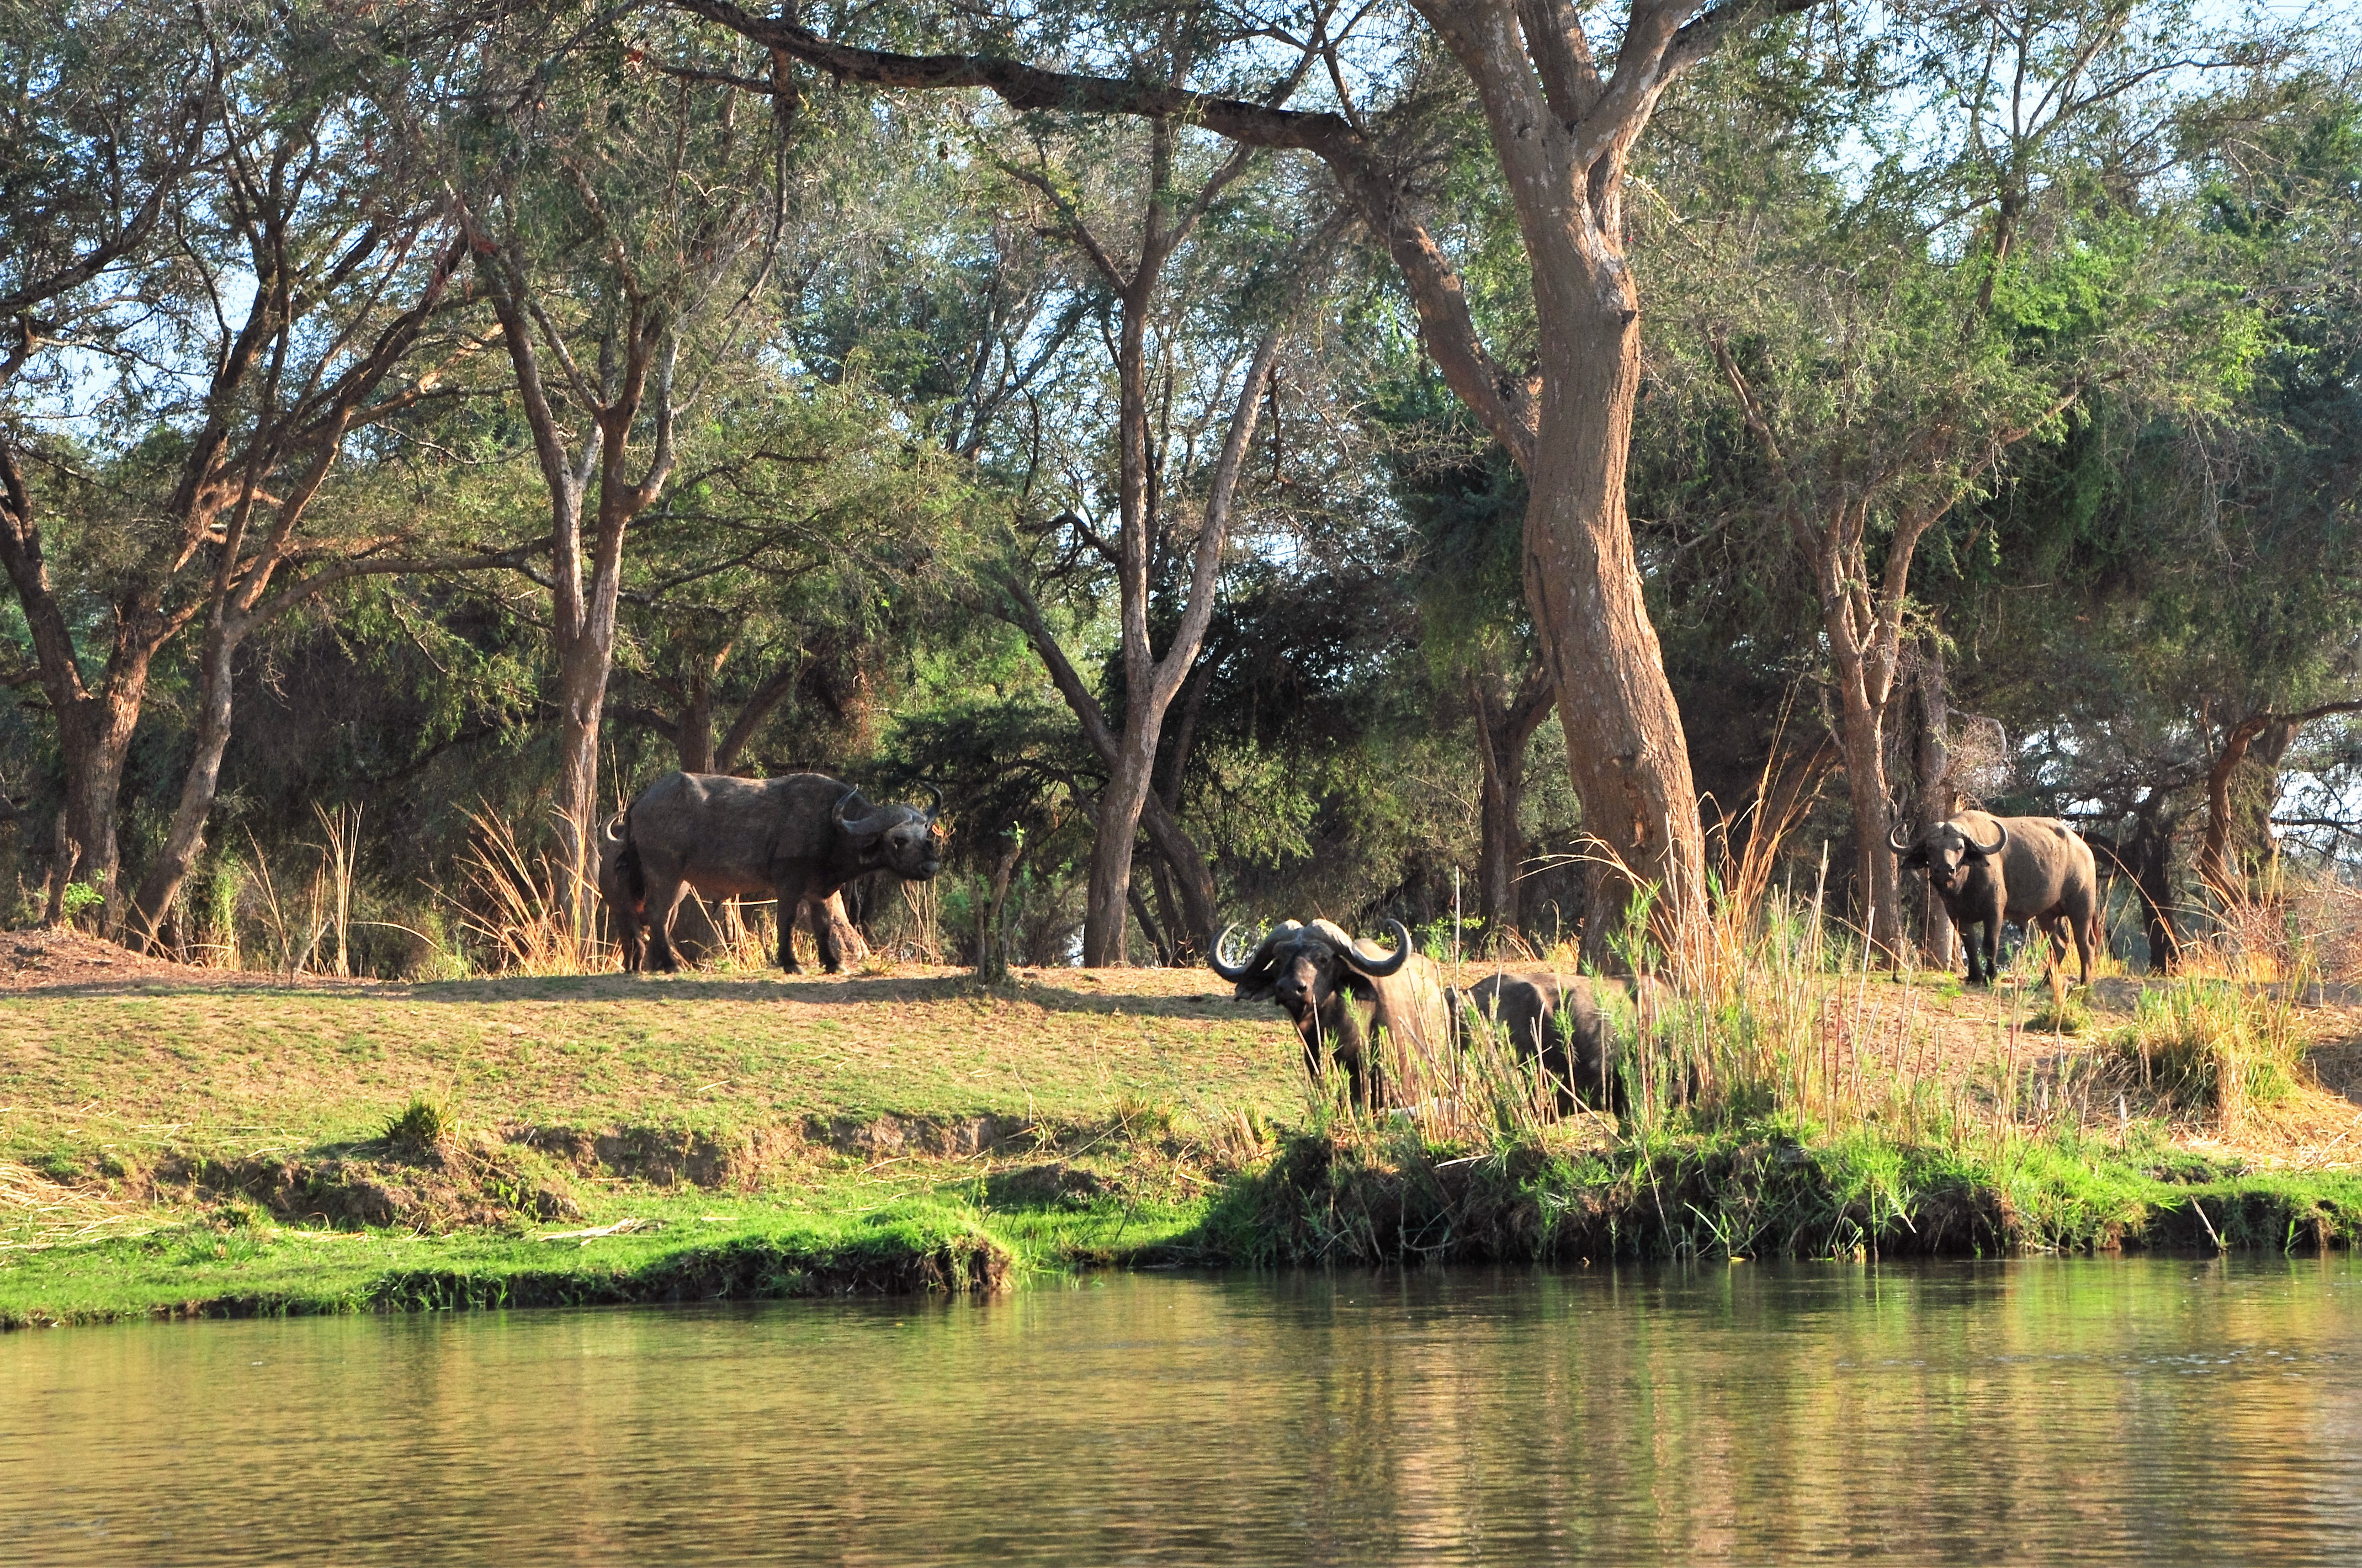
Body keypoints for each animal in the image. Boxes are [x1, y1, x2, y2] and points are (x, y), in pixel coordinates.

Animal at [604, 769, 944, 968]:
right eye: (899, 840)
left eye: (926, 833)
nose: (930, 867)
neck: (831, 826)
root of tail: (641, 800)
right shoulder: (788, 883)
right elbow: (788, 921)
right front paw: (789, 962)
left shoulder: (821, 889)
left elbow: (824, 924)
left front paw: (832, 963)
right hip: (664, 873)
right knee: (657, 914)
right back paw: (669, 964)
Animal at [1899, 812, 2106, 987]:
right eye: (1930, 847)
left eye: (1959, 847)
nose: (1944, 870)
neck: (1964, 884)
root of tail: (2085, 849)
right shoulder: (1956, 915)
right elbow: (1970, 945)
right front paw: (1974, 977)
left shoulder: (1994, 911)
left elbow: (1990, 944)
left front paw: (1991, 976)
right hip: (2047, 914)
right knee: (2059, 944)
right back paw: (2046, 981)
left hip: (2081, 906)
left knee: (2085, 943)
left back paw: (2084, 983)